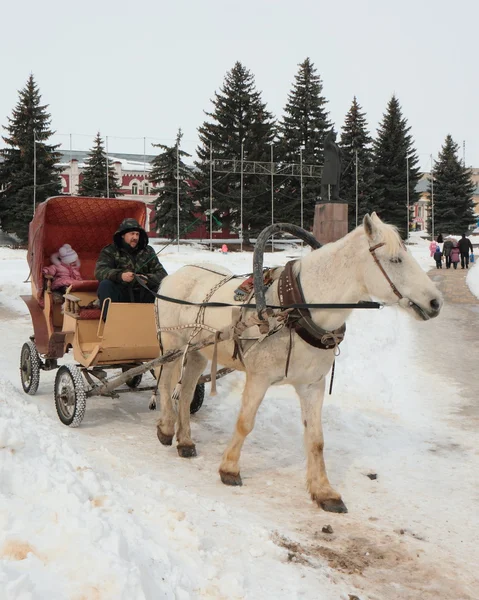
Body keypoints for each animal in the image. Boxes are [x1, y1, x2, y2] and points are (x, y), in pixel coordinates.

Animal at [153, 213, 442, 512]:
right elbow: (245, 422)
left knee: (186, 392)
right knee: (165, 383)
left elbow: (316, 439)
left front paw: (324, 491)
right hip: (172, 345)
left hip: (198, 353)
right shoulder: (259, 377)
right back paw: (166, 427)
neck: (295, 311)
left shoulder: (312, 384)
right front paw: (229, 469)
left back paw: (185, 440)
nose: (435, 302)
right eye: (396, 259)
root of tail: (173, 277)